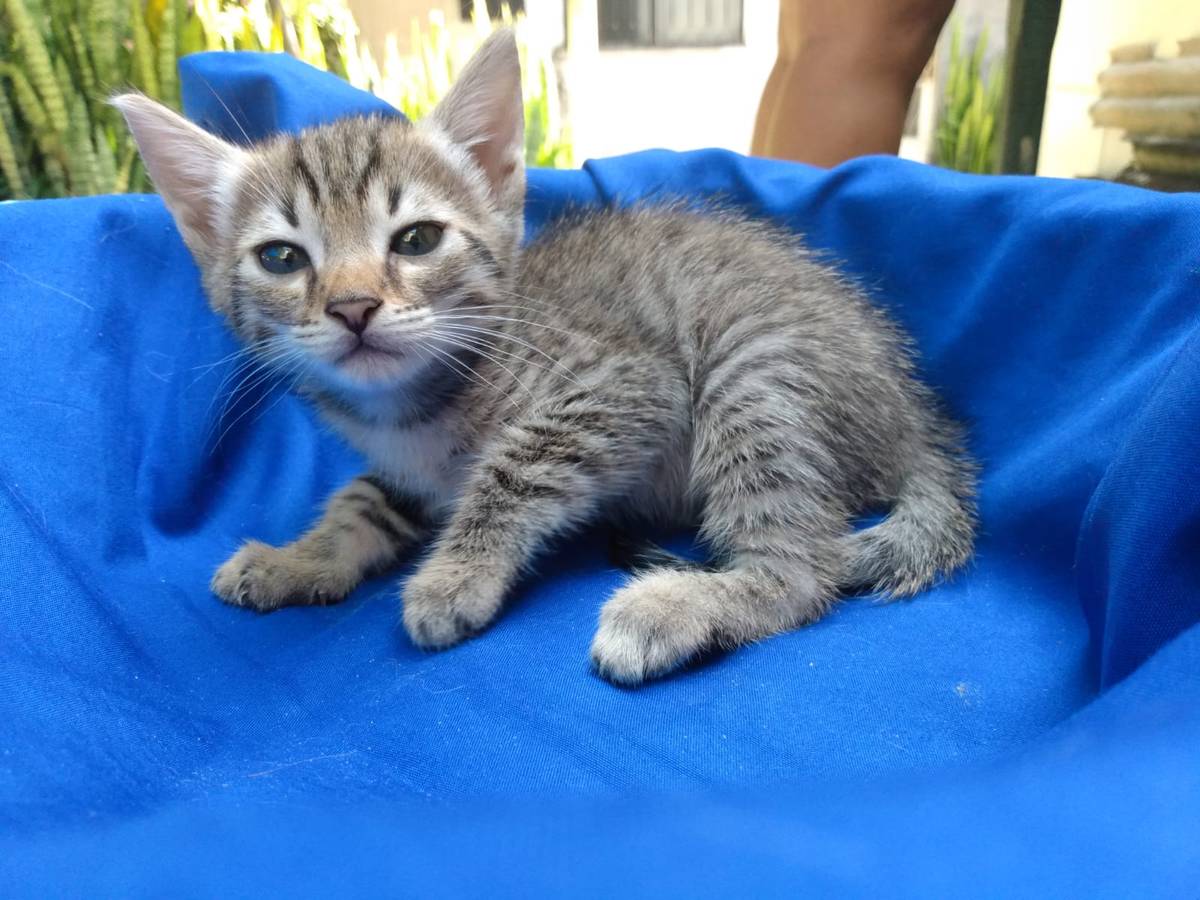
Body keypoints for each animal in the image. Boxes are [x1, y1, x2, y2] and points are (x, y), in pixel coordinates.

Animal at [114, 30, 976, 684]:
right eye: (282, 259)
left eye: (417, 240)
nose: (354, 307)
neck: (411, 410)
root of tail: (918, 416)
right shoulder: (404, 471)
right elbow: (360, 502)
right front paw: (298, 559)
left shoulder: (628, 384)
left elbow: (514, 465)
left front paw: (455, 577)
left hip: (754, 370)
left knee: (803, 569)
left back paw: (676, 607)